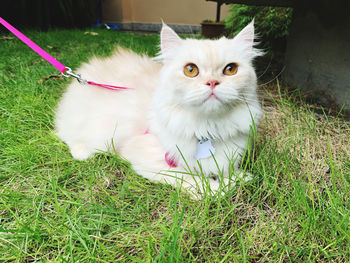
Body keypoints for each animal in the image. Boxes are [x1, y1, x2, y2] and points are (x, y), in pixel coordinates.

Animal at [54, 21, 262, 198]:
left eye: (230, 69)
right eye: (191, 70)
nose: (212, 82)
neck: (208, 128)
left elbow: (226, 170)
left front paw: (240, 177)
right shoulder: (147, 155)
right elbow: (190, 178)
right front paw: (218, 189)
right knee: (69, 136)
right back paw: (82, 153)